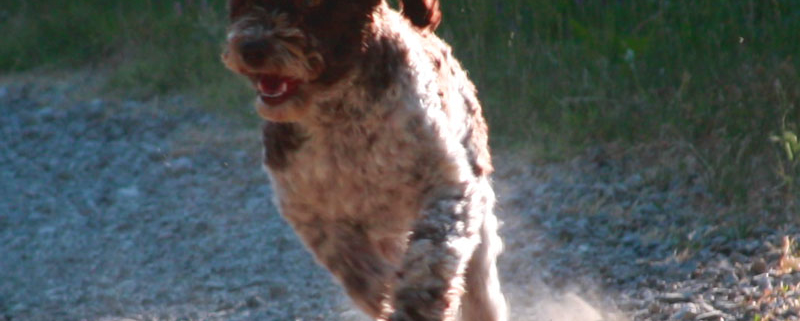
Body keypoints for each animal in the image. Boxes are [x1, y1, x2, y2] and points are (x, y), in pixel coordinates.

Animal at [220, 1, 506, 318]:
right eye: (242, 3)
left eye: (312, 6)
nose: (252, 47)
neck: (339, 116)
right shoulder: (308, 210)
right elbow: (354, 267)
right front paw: (381, 295)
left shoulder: (449, 187)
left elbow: (430, 255)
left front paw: (415, 305)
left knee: (480, 289)